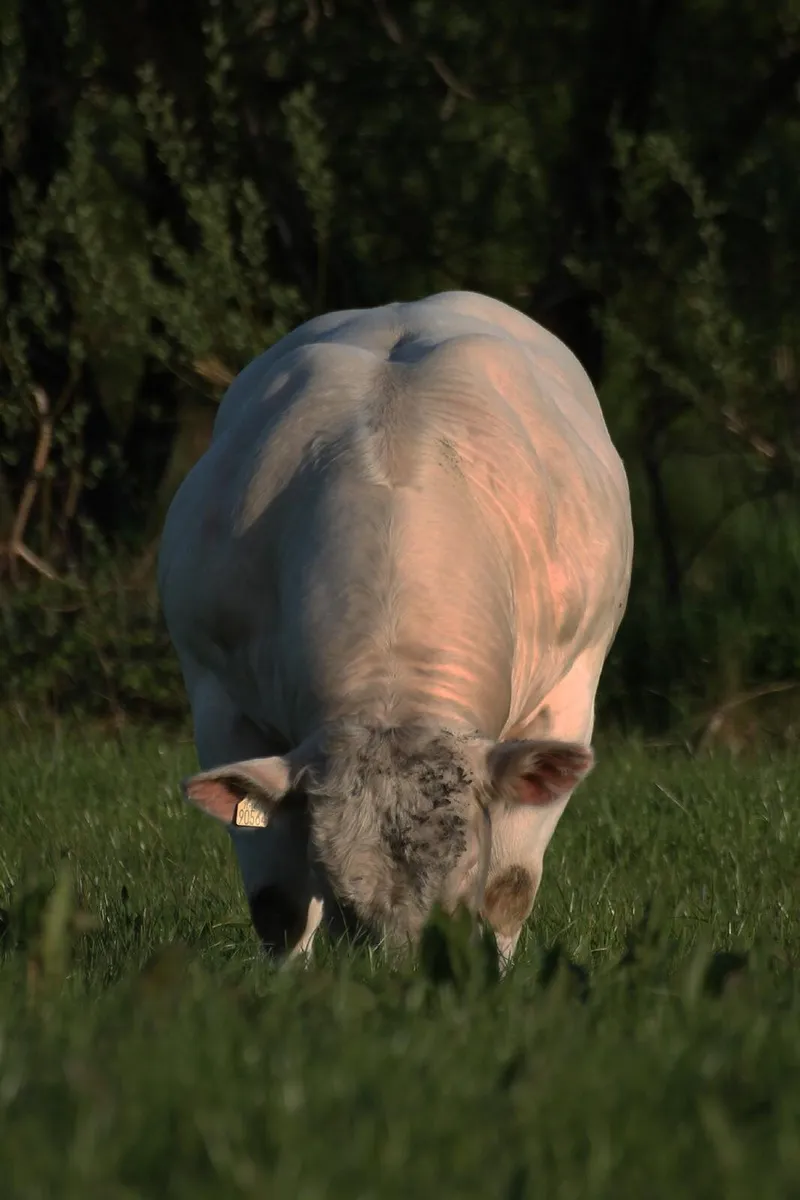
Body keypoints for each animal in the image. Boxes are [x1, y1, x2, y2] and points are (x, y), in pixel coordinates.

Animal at [158, 290, 633, 964]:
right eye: (343, 902)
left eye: (460, 895)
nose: (399, 974)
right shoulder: (219, 699)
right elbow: (279, 905)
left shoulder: (566, 699)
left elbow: (511, 888)